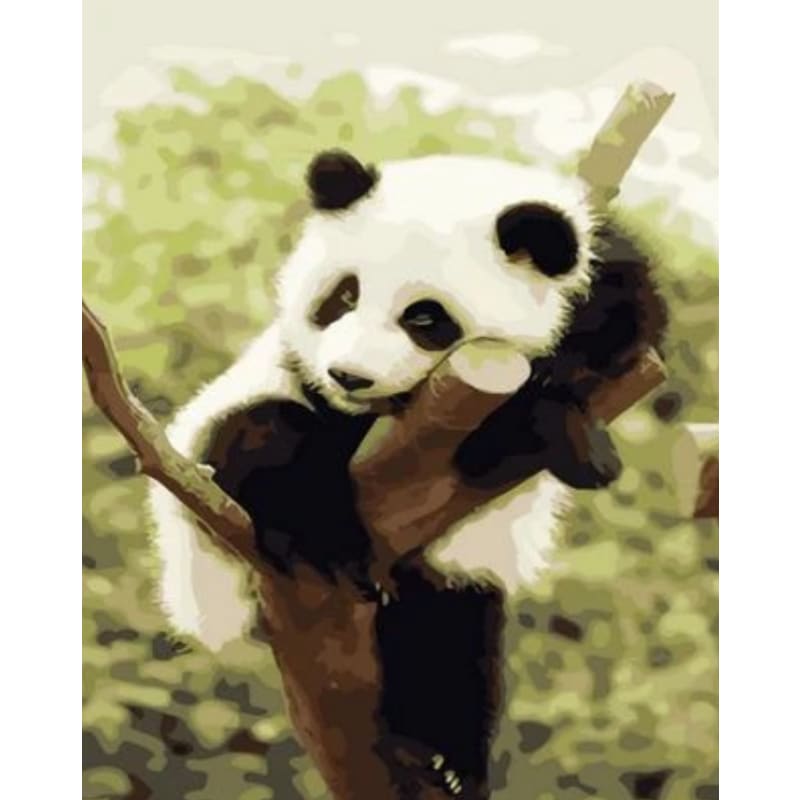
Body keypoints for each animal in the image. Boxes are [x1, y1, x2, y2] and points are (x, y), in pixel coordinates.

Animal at [149, 149, 667, 798]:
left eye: (425, 318)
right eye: (342, 297)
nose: (349, 375)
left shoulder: (603, 271)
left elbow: (624, 326)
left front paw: (566, 427)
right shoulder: (296, 378)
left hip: (448, 567)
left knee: (446, 640)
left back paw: (444, 760)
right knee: (266, 437)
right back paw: (329, 549)